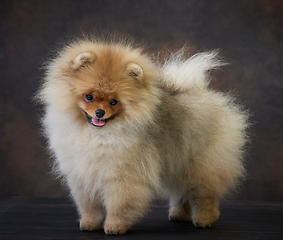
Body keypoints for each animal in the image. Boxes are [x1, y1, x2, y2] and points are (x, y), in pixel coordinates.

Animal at [36, 36, 250, 235]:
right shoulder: (83, 175)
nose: (99, 112)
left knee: (203, 193)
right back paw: (178, 214)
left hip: (201, 164)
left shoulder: (122, 176)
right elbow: (90, 205)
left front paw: (115, 226)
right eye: (89, 96)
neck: (99, 134)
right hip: (178, 162)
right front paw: (90, 223)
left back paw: (204, 218)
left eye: (114, 101)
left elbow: (119, 204)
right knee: (182, 191)